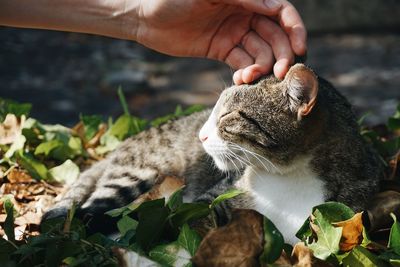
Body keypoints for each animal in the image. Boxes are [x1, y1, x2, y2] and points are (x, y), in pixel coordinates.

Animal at [42, 64, 382, 245]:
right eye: (214, 110)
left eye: (227, 116)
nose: (201, 135)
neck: (289, 177)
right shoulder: (208, 201)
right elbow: (185, 222)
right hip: (135, 174)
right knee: (77, 213)